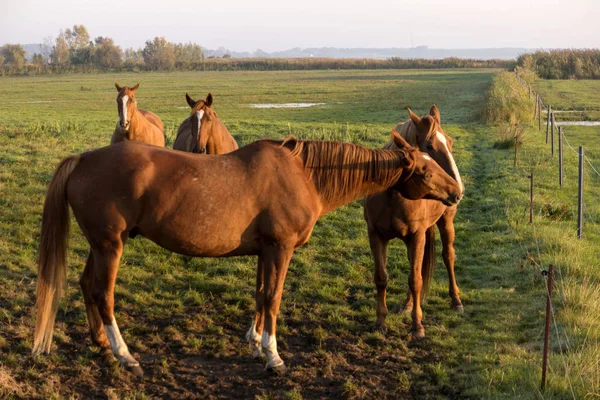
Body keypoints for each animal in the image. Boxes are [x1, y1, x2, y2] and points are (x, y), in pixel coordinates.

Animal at [32, 131, 462, 376]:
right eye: (424, 170)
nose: (456, 192)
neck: (305, 175)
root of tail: (83, 159)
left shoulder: (264, 251)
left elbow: (259, 296)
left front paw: (255, 344)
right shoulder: (280, 248)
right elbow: (273, 298)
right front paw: (273, 356)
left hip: (101, 245)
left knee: (87, 286)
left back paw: (102, 348)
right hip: (110, 246)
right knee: (103, 295)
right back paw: (125, 356)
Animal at [364, 105, 466, 338]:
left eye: (450, 142)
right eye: (429, 146)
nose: (458, 188)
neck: (393, 197)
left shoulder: (417, 235)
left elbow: (416, 280)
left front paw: (417, 326)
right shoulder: (376, 235)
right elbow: (381, 278)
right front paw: (380, 322)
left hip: (445, 223)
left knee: (448, 256)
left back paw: (456, 301)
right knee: (414, 266)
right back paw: (408, 304)